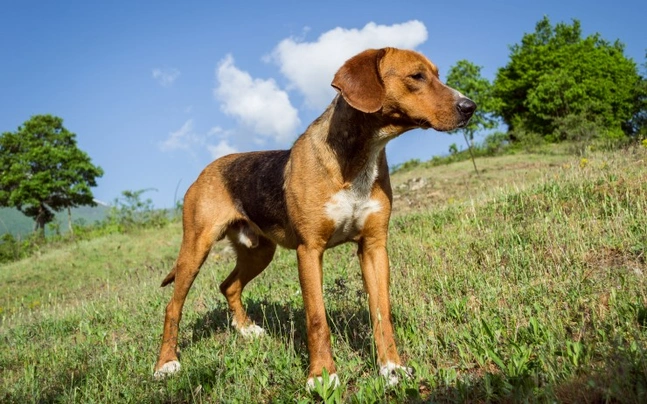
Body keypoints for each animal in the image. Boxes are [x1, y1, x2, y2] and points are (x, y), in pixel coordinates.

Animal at [152, 46, 476, 388]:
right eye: (416, 76)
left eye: (438, 74)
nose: (470, 107)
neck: (357, 161)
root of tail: (207, 169)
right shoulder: (309, 251)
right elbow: (317, 318)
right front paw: (322, 376)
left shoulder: (374, 247)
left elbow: (381, 313)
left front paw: (391, 367)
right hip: (195, 248)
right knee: (173, 306)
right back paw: (166, 363)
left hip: (259, 252)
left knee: (228, 286)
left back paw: (245, 329)